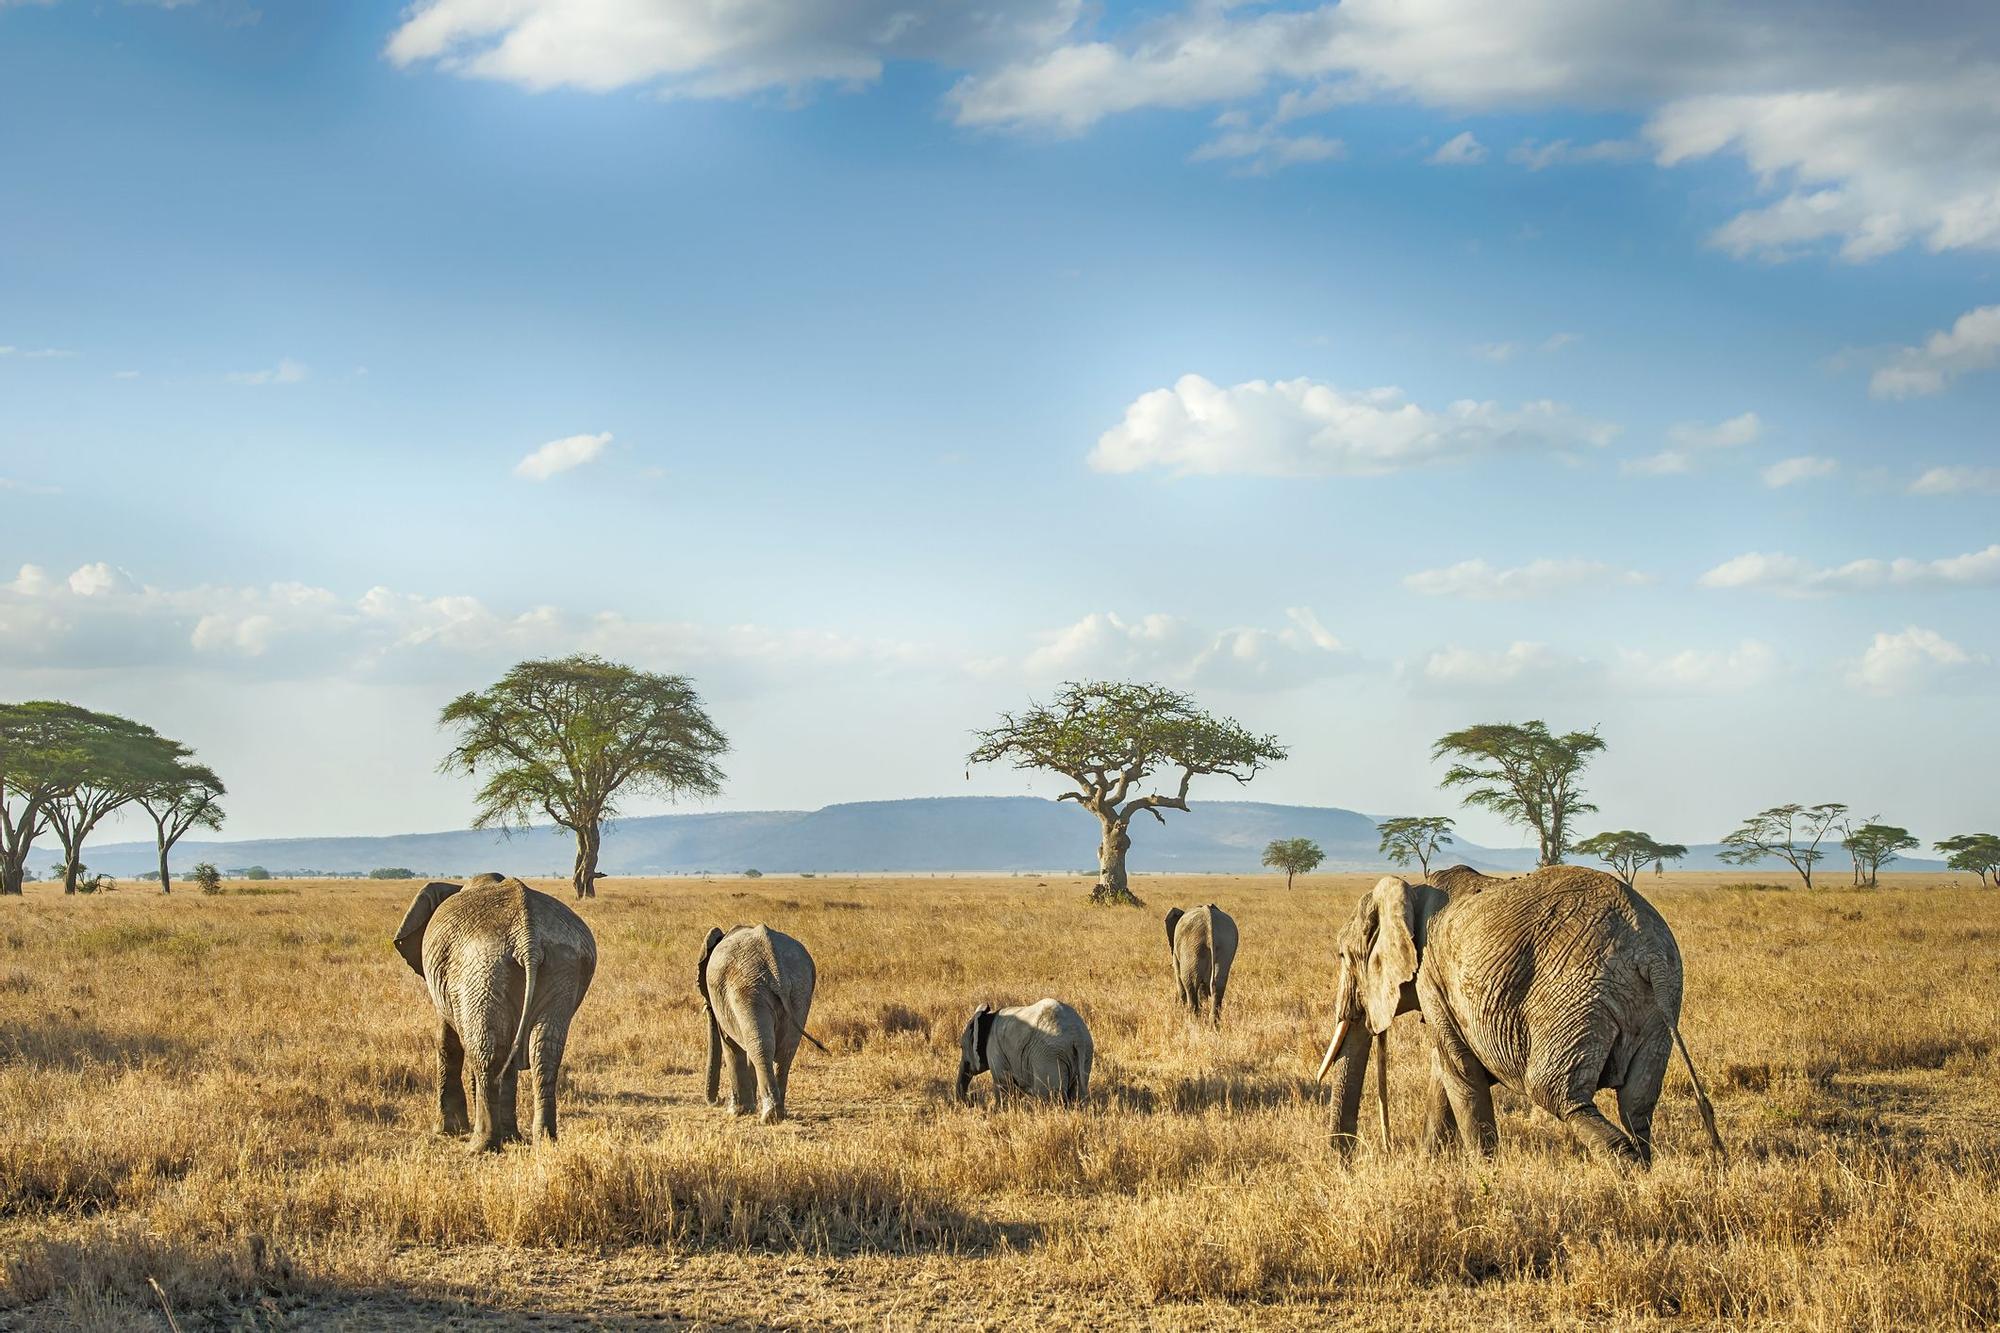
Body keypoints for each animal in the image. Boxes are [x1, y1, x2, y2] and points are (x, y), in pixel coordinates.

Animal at [390, 868, 592, 1144]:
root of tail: (528, 939)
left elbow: (448, 1042)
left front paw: (447, 1131)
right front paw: (511, 1137)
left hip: (483, 966)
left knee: (487, 1050)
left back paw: (481, 1144)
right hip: (562, 963)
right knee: (544, 1051)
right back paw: (544, 1141)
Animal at [692, 924, 808, 1120]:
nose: (719, 1100)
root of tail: (774, 963)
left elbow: (730, 1044)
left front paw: (736, 1111)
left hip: (748, 989)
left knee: (760, 1047)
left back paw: (769, 1116)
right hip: (799, 990)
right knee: (785, 1051)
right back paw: (779, 1113)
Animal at [952, 996, 1096, 1096]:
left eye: (961, 1047)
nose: (970, 1100)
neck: (987, 1016)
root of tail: (1076, 1035)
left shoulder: (994, 1048)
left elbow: (1003, 1082)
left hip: (1048, 1056)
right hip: (1085, 1053)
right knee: (1077, 1091)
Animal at [1312, 860, 1720, 1160]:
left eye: (1343, 956)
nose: (1345, 1163)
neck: (1410, 890)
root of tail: (1649, 952)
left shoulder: (1432, 976)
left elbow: (1459, 1072)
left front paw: (1485, 1173)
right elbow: (1445, 1073)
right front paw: (1430, 1167)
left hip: (1576, 993)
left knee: (1557, 1093)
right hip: (1657, 1008)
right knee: (1636, 1105)